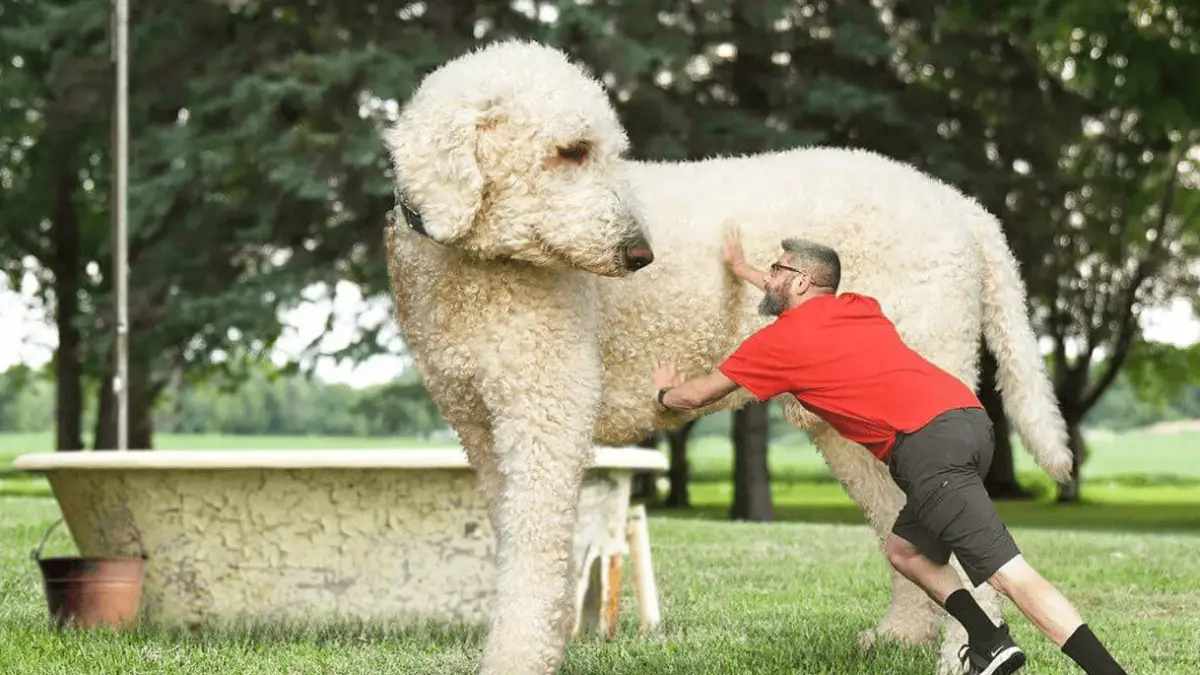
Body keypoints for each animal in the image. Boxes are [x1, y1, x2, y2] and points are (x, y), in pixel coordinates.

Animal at [379, 39, 1075, 672]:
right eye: (571, 152)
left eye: (601, 151)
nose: (640, 255)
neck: (476, 265)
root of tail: (964, 206)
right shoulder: (479, 424)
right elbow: (515, 541)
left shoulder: (546, 411)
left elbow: (534, 554)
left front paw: (516, 660)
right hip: (860, 425)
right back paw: (901, 638)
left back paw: (964, 654)